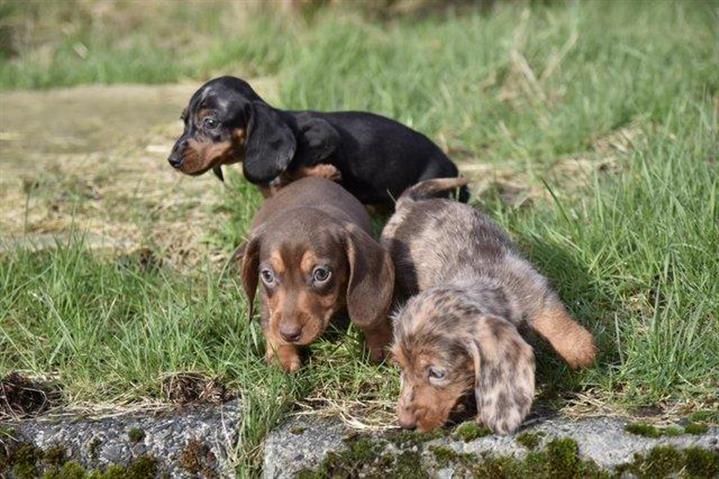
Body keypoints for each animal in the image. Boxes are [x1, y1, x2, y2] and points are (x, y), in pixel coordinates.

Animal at [167, 76, 470, 205]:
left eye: (210, 122)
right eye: (183, 121)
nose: (172, 160)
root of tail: (453, 167)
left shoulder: (324, 133)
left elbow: (298, 164)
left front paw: (325, 171)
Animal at [240, 176, 394, 372]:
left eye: (321, 274)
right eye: (267, 275)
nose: (289, 334)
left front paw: (383, 343)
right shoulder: (265, 299)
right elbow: (270, 321)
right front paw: (282, 356)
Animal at [382, 178, 596, 436]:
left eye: (437, 373)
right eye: (401, 366)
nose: (404, 424)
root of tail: (408, 205)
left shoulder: (536, 293)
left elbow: (560, 328)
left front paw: (582, 353)